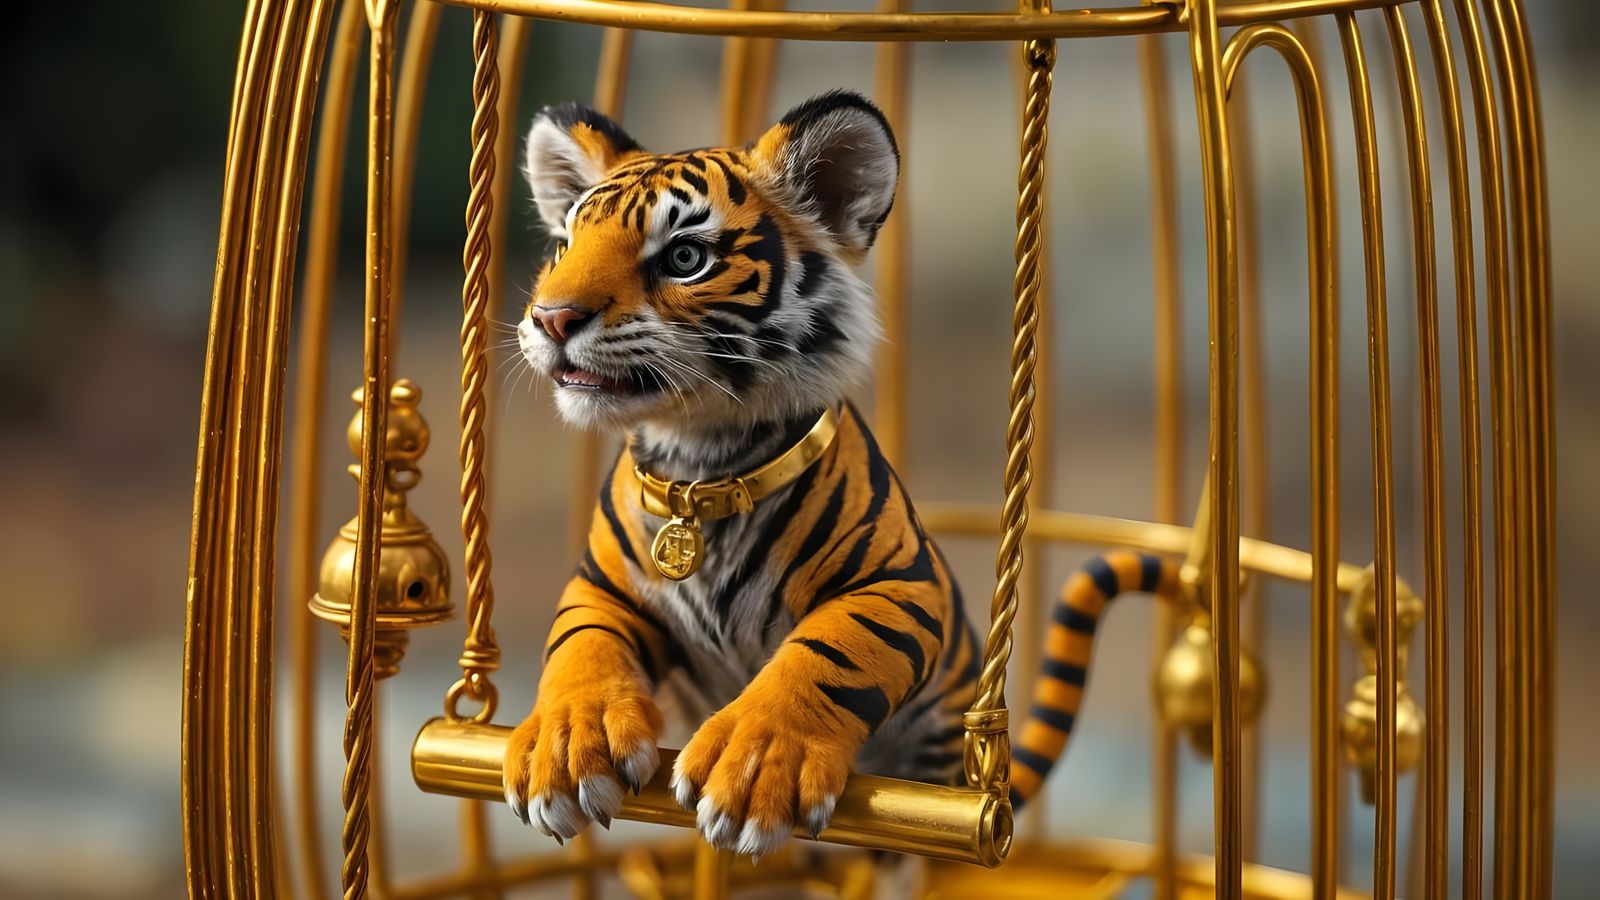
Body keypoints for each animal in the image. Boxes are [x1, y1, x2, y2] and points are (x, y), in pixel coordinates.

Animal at [502, 90, 1182, 858]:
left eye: (684, 257)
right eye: (565, 246)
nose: (552, 318)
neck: (699, 462)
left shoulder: (902, 584)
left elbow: (830, 652)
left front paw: (754, 765)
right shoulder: (601, 585)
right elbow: (579, 647)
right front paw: (565, 747)